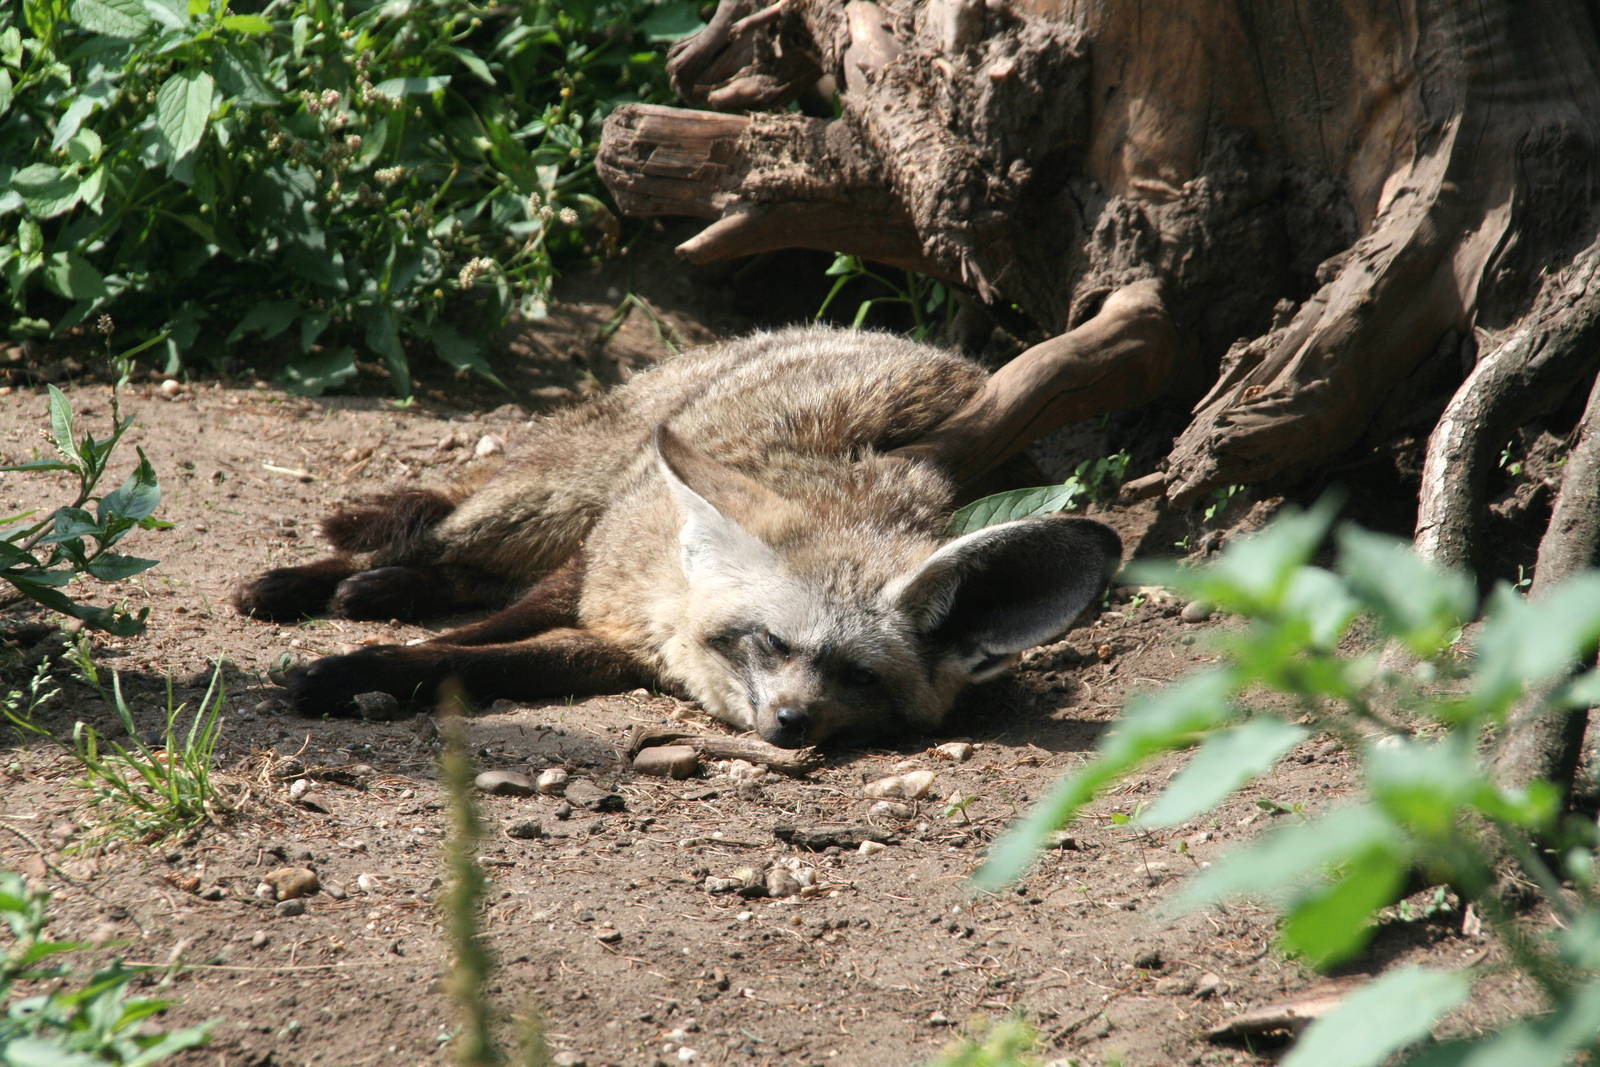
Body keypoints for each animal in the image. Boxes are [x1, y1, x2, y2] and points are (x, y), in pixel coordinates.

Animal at [235, 325, 1121, 748]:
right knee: (442, 540)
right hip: (545, 502)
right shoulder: (598, 570)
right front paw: (356, 663)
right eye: (772, 641)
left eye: (861, 680)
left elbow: (484, 661)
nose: (792, 723)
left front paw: (370, 669)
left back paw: (374, 588)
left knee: (458, 568)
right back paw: (314, 581)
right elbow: (474, 634)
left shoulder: (611, 646)